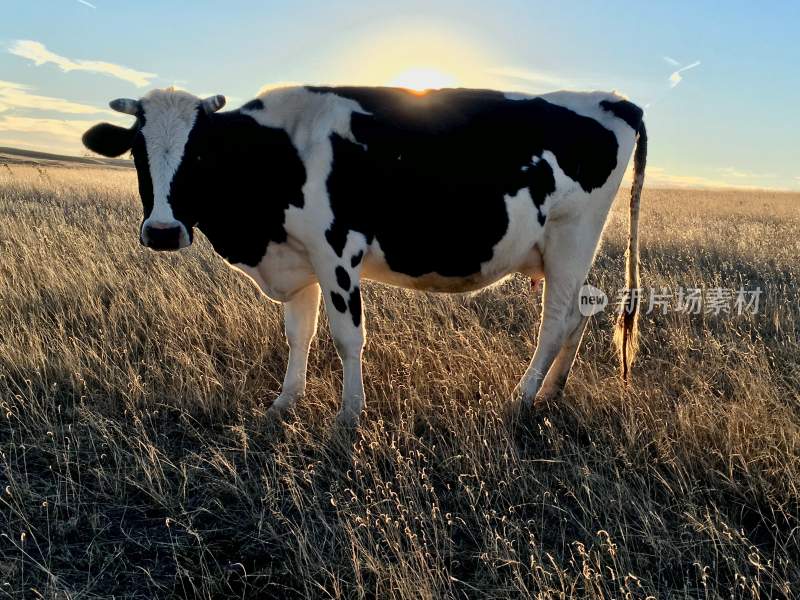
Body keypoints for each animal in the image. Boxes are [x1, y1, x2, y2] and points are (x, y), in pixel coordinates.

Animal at [81, 84, 648, 426]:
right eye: (137, 151)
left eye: (199, 153)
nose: (162, 231)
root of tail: (614, 100)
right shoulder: (301, 258)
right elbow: (299, 334)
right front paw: (283, 403)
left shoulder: (336, 251)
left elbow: (347, 337)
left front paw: (349, 415)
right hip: (566, 251)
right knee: (582, 311)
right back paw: (552, 393)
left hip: (573, 236)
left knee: (555, 320)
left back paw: (521, 398)